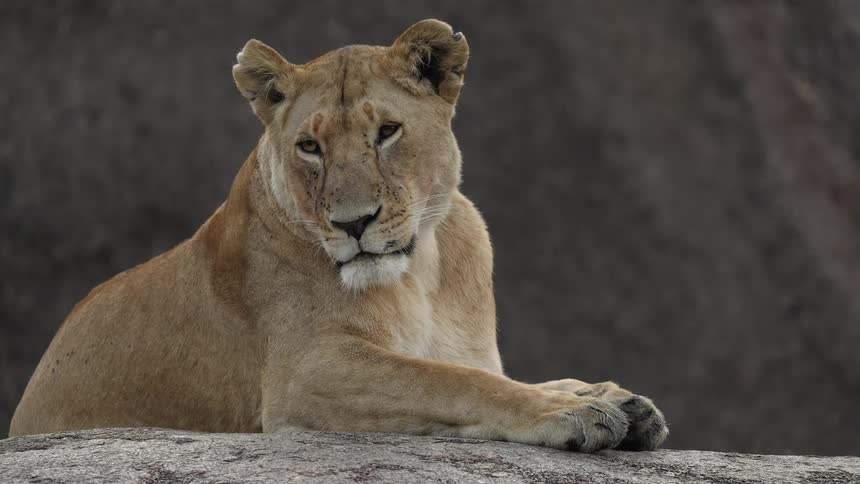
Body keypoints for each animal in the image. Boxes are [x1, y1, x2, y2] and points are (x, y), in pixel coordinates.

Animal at [9, 19, 668, 452]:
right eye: (310, 146)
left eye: (387, 132)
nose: (354, 223)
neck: (421, 272)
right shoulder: (305, 373)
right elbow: (452, 381)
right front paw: (574, 410)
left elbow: (483, 372)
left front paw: (610, 395)